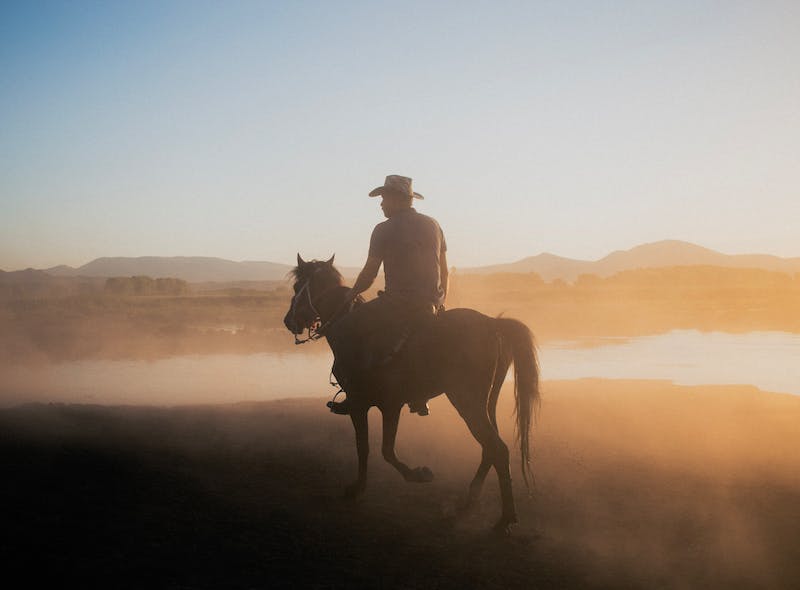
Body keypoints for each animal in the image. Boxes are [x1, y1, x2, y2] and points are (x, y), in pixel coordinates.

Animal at [284, 254, 540, 536]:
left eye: (297, 288)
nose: (289, 321)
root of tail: (493, 324)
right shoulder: (385, 405)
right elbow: (376, 449)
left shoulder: (372, 405)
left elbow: (374, 449)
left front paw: (401, 478)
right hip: (485, 402)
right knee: (490, 448)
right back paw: (471, 498)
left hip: (467, 401)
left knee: (497, 449)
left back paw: (505, 518)